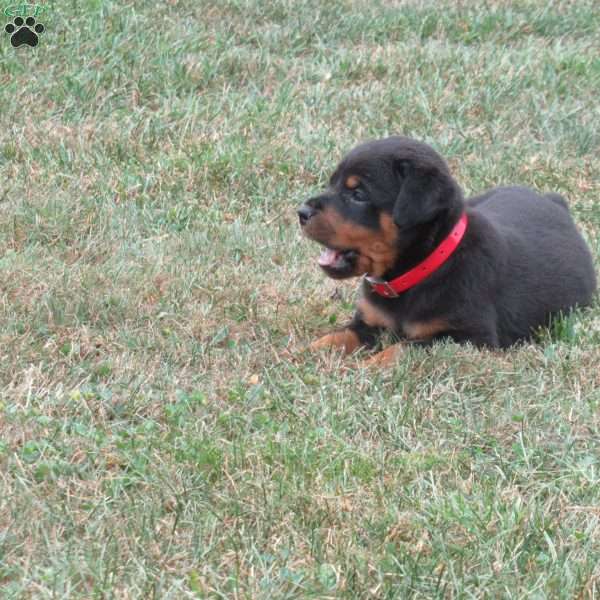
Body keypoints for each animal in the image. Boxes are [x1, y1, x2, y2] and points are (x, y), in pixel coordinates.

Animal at [298, 135, 596, 366]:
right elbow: (337, 336)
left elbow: (405, 347)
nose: (301, 212)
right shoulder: (369, 322)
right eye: (332, 183)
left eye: (358, 194)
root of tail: (555, 203)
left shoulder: (468, 338)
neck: (421, 270)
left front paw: (367, 366)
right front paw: (302, 353)